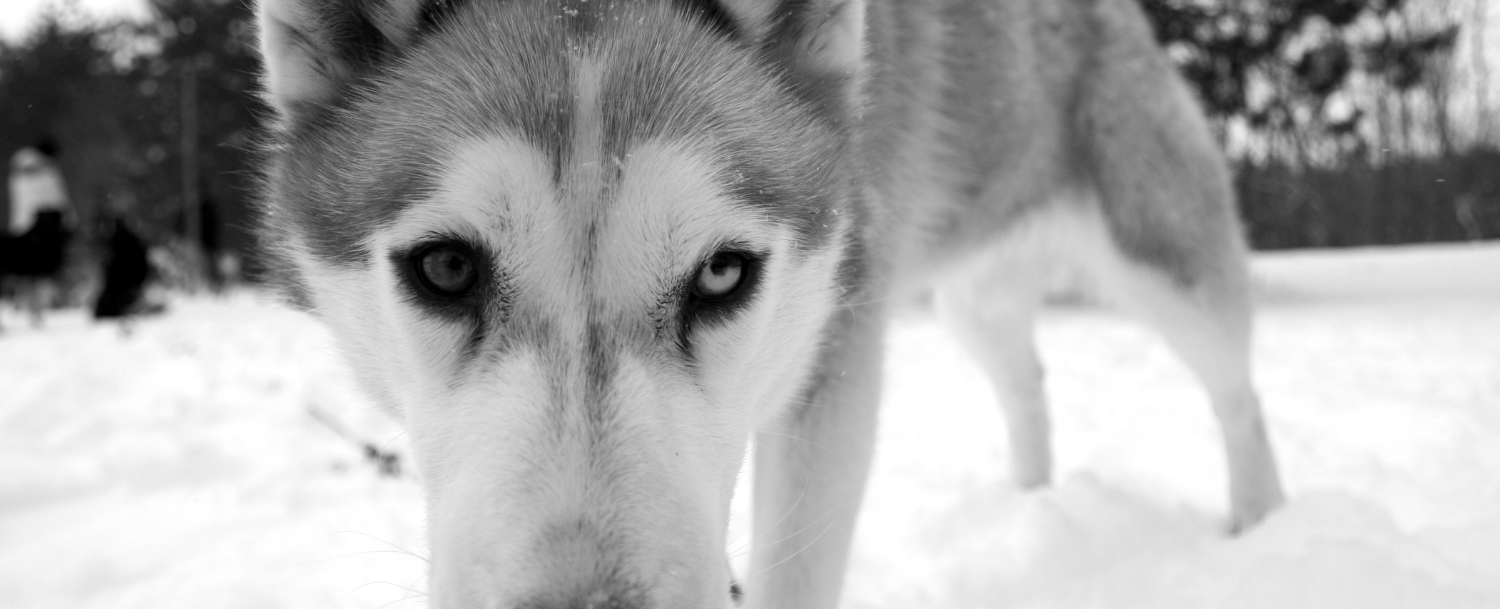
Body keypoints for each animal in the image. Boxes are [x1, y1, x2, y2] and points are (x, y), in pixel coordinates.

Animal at [252, 0, 1284, 606]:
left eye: (722, 273)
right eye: (446, 268)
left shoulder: (833, 356)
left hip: (1165, 263)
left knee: (1238, 394)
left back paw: (1264, 523)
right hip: (974, 303)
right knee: (1026, 378)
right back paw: (1031, 505)